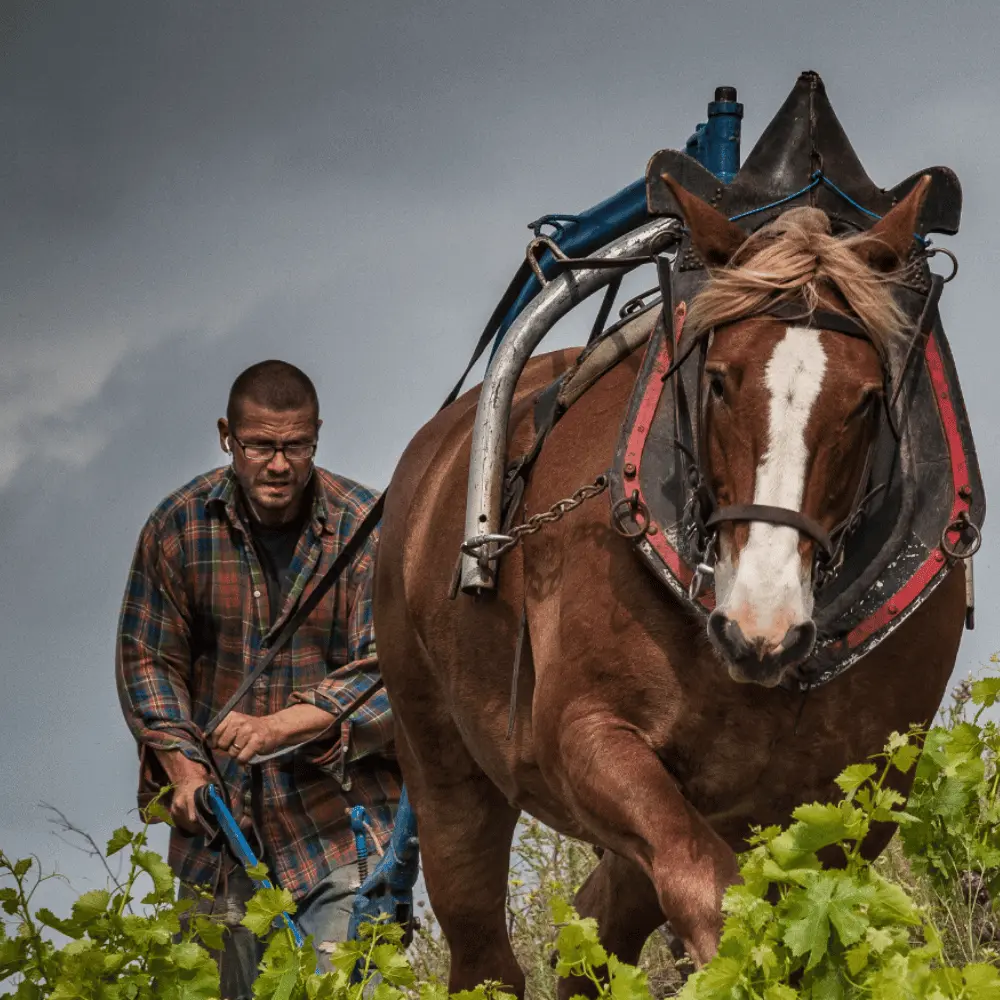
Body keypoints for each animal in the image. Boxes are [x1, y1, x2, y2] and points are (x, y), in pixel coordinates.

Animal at [372, 176, 964, 996]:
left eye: (868, 400)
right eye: (717, 380)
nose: (760, 628)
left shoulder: (858, 798)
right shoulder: (586, 735)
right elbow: (710, 896)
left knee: (596, 928)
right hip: (442, 768)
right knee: (484, 952)